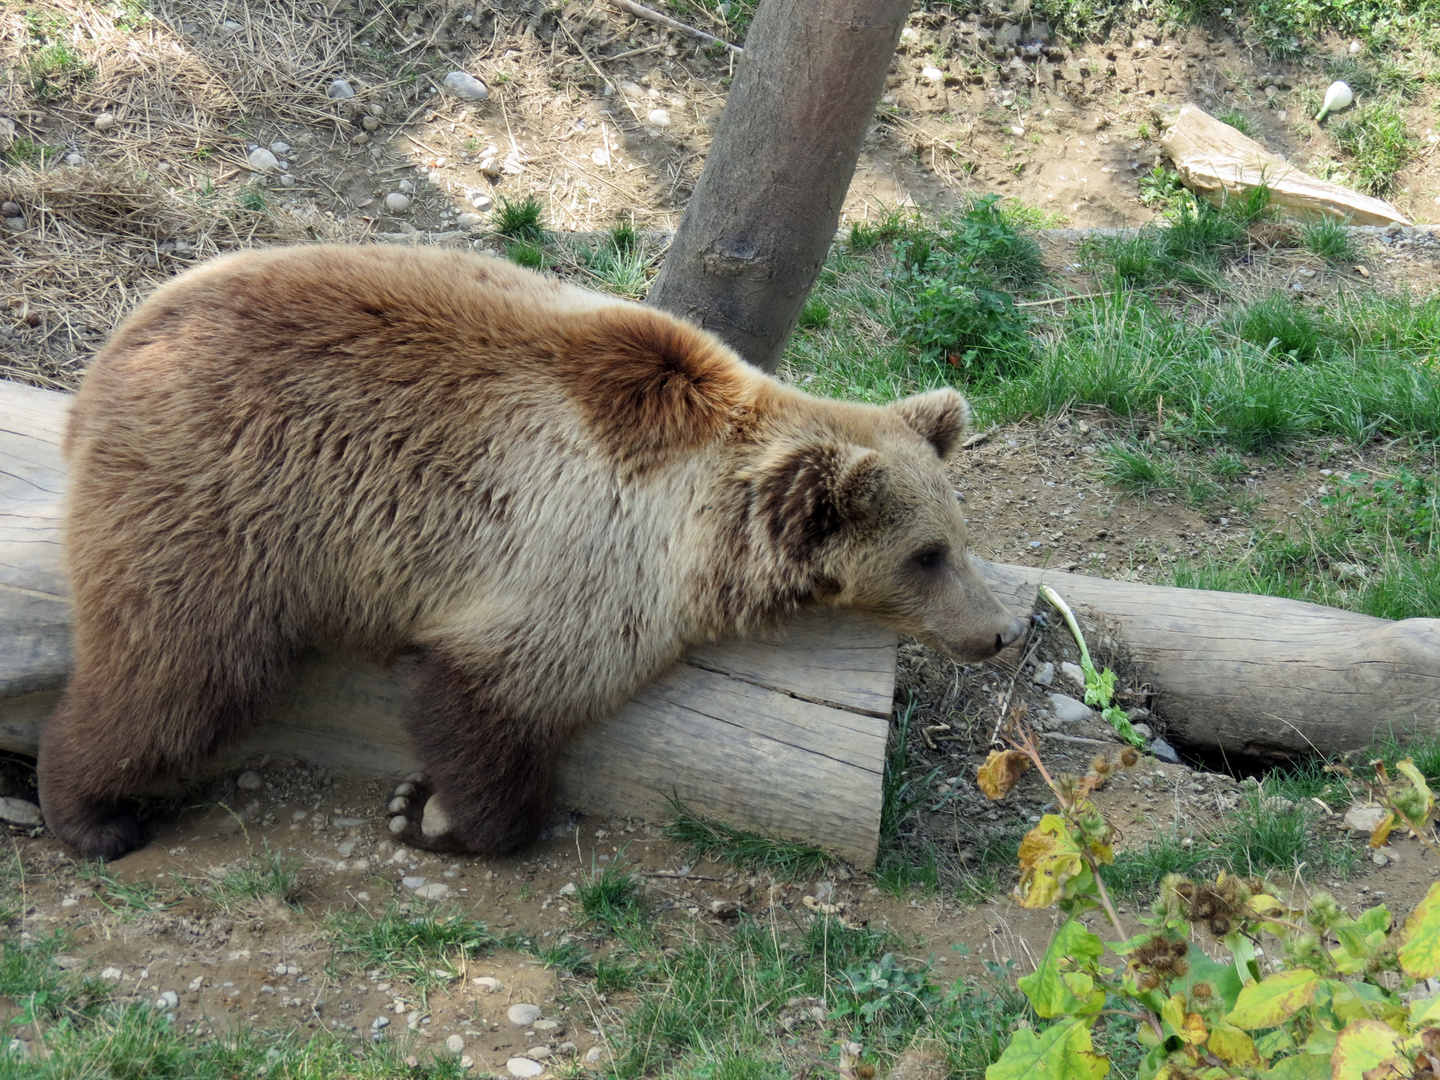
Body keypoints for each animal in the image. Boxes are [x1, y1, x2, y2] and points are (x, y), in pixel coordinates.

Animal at [39, 244, 1031, 864]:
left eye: (958, 539)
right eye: (926, 555)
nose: (1000, 632)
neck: (709, 518)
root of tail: (112, 351)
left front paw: (421, 806)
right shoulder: (585, 554)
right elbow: (494, 694)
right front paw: (439, 814)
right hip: (228, 509)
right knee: (179, 673)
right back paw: (90, 813)